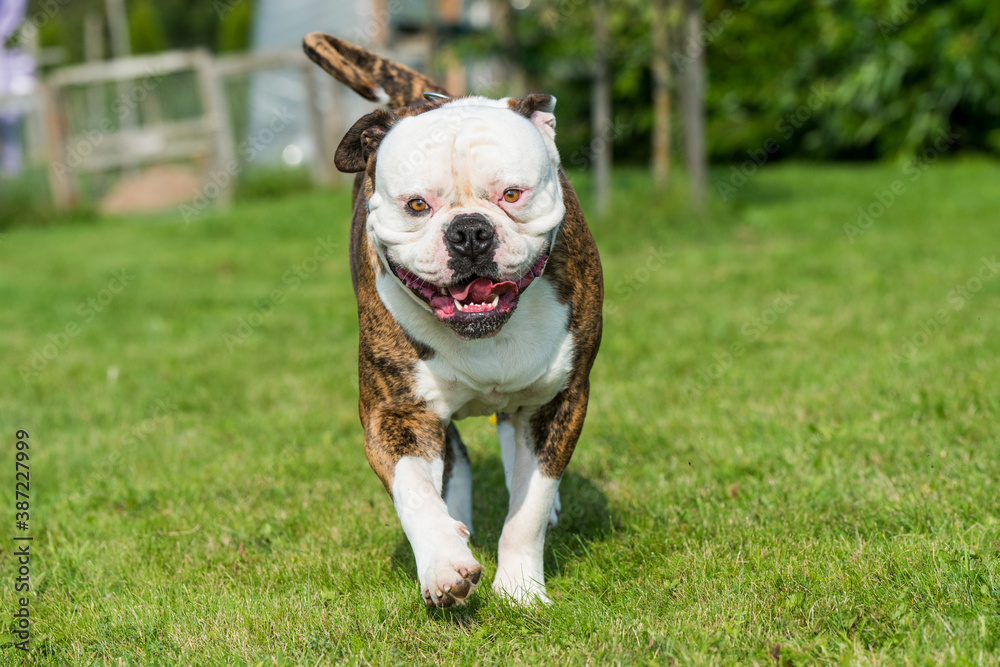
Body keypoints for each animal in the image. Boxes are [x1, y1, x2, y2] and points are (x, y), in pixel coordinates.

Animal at [304, 34, 600, 608]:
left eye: (512, 194)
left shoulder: (563, 400)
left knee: (511, 434)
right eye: (417, 205)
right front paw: (443, 563)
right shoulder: (395, 411)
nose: (469, 232)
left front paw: (520, 587)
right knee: (455, 460)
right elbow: (415, 493)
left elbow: (528, 507)